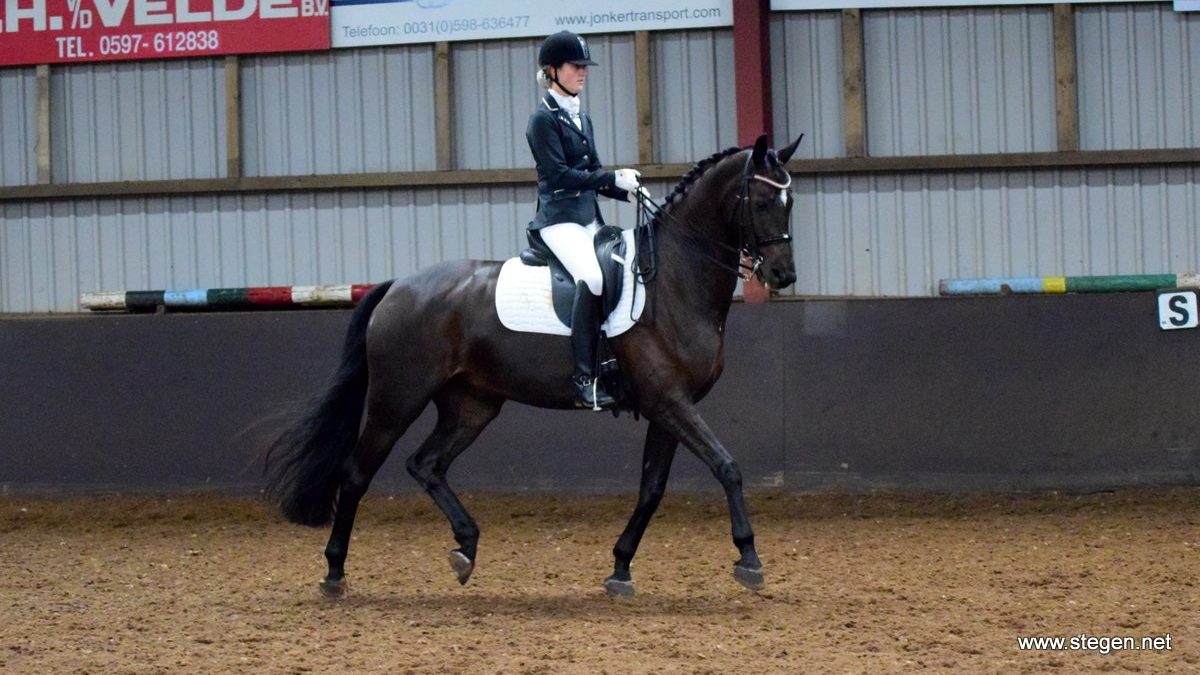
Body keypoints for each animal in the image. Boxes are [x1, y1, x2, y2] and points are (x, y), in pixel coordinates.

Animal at [267, 132, 801, 593]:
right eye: (760, 201)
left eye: (790, 201)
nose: (783, 275)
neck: (672, 280)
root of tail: (399, 285)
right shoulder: (669, 402)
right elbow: (726, 466)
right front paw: (749, 559)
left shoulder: (668, 407)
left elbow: (652, 489)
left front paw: (620, 568)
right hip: (396, 399)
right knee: (358, 473)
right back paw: (335, 571)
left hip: (471, 406)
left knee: (427, 464)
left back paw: (466, 548)